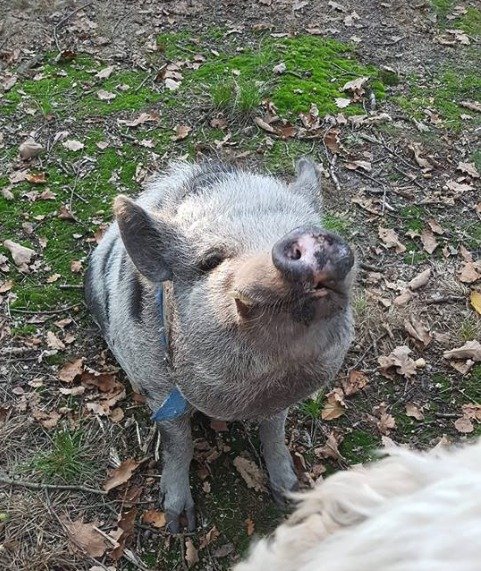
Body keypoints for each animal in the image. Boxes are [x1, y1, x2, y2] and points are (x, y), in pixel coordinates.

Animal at [84, 159, 354, 536]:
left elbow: (275, 430)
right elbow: (178, 443)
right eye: (210, 260)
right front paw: (180, 525)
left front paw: (290, 495)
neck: (254, 391)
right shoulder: (158, 388)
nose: (310, 239)